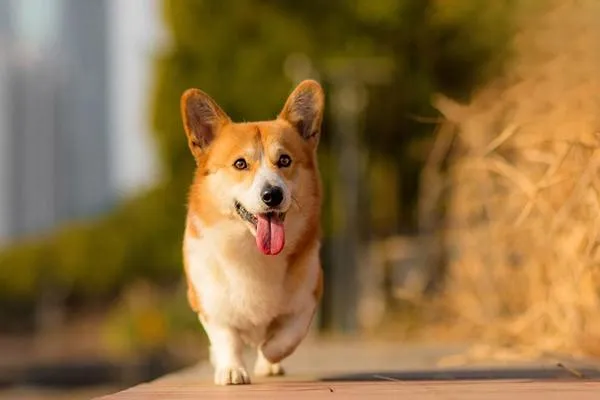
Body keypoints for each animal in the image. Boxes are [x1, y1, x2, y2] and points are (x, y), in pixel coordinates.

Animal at [180, 79, 326, 384]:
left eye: (284, 160)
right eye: (240, 164)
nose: (272, 195)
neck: (252, 249)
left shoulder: (309, 296)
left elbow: (286, 337)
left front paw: (269, 354)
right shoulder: (207, 302)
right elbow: (226, 337)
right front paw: (231, 370)